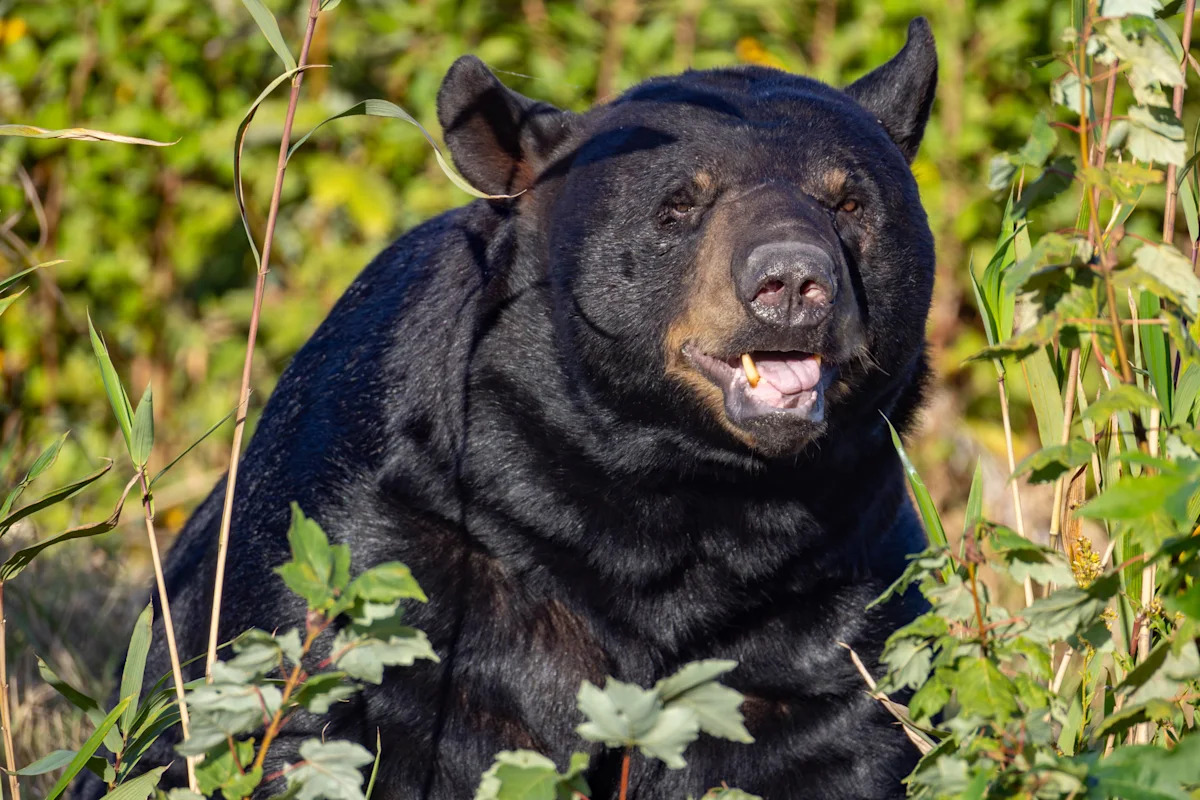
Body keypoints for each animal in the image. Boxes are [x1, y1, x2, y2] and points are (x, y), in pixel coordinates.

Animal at [85, 17, 938, 800]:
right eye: (677, 206)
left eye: (850, 202)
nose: (791, 281)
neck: (671, 496)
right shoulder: (388, 535)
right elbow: (301, 706)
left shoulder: (833, 583)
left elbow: (845, 734)